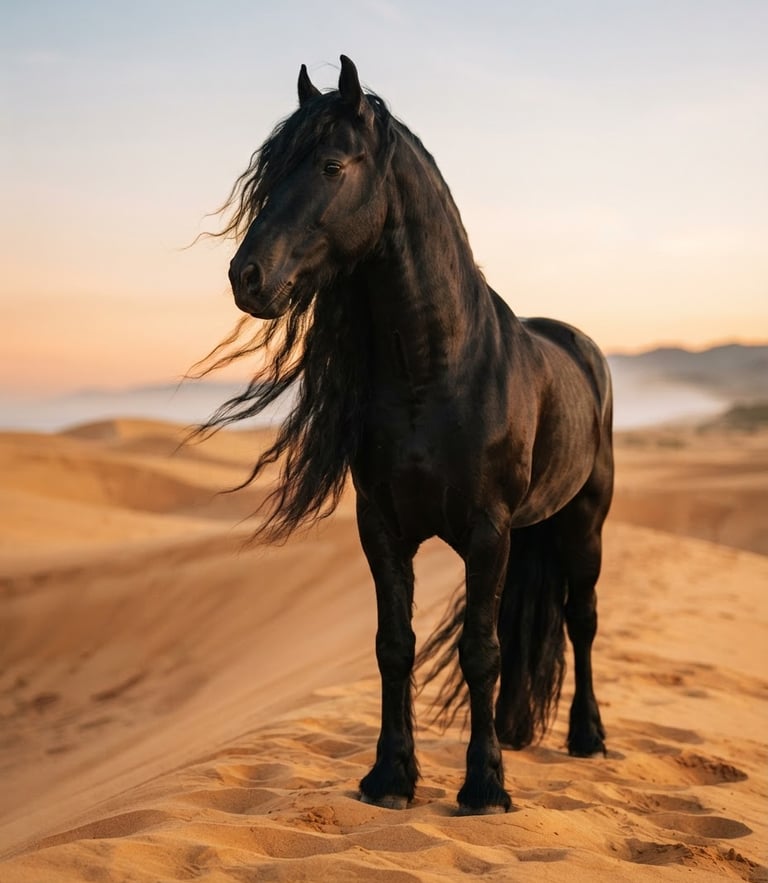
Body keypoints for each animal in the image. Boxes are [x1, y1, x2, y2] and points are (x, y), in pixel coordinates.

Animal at [202, 56, 614, 815]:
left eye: (332, 165)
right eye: (269, 178)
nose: (247, 277)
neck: (439, 369)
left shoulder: (486, 530)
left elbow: (480, 651)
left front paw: (484, 787)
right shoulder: (383, 526)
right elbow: (395, 645)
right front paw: (391, 777)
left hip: (584, 524)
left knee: (582, 619)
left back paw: (588, 737)